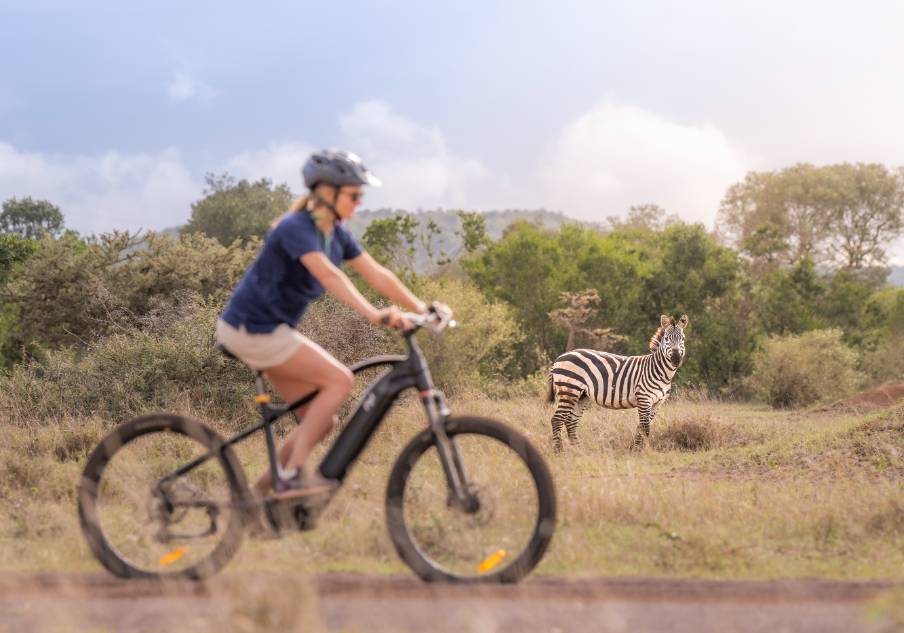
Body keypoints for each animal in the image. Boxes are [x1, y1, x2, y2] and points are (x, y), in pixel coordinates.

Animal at [548, 312, 688, 450]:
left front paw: (635, 449)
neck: (660, 372)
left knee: (571, 421)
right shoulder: (644, 399)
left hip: (581, 396)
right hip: (569, 390)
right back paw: (558, 450)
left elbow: (641, 427)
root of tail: (559, 357)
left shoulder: (657, 403)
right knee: (557, 419)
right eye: (666, 339)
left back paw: (578, 450)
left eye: (683, 339)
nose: (676, 359)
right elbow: (645, 428)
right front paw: (643, 451)